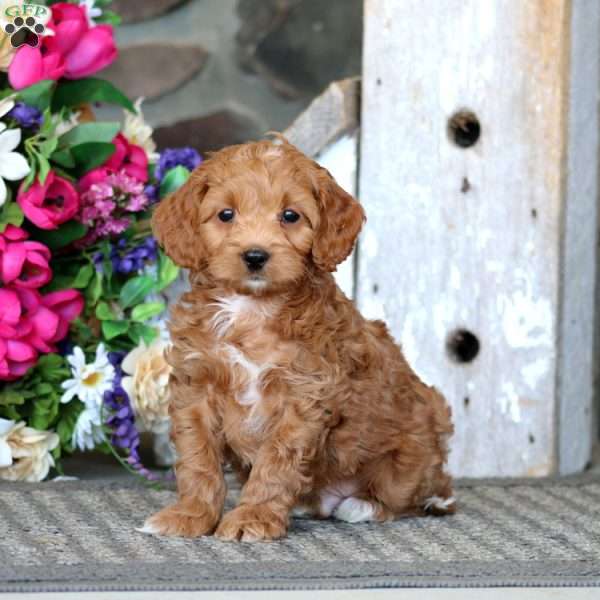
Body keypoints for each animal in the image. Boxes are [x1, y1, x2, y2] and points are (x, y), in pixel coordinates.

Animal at [142, 138, 454, 540]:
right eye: (226, 215)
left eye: (290, 216)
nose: (255, 256)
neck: (253, 308)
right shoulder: (196, 387)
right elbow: (198, 458)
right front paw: (190, 514)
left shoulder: (302, 396)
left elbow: (276, 462)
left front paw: (253, 517)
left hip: (418, 443)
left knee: (412, 495)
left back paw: (364, 505)